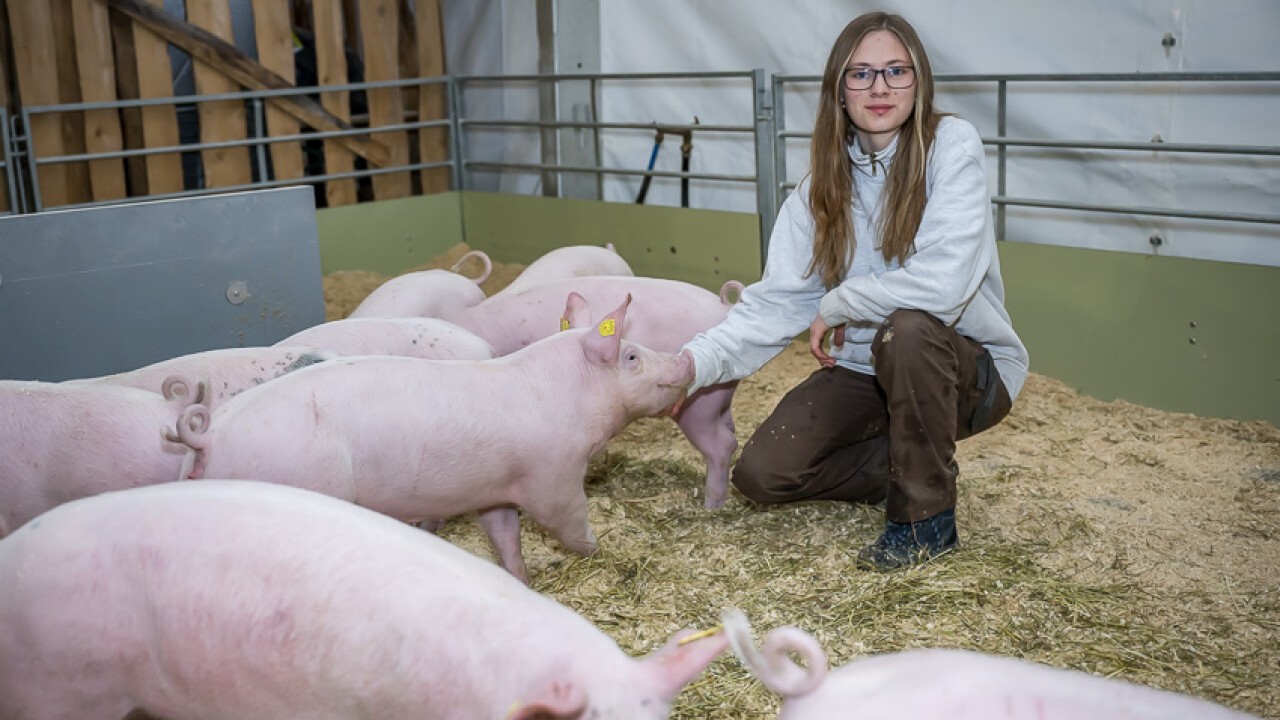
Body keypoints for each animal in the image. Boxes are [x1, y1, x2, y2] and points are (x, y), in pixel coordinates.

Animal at [174, 294, 691, 579]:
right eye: (631, 356)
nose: (684, 360)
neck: (566, 397)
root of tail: (208, 441)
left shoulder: (495, 489)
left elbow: (505, 537)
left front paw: (522, 580)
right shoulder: (553, 477)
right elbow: (568, 521)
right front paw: (598, 551)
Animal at [453, 272, 747, 504]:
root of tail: (723, 306)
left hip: (698, 406)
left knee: (722, 445)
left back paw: (711, 505)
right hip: (720, 399)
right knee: (730, 431)